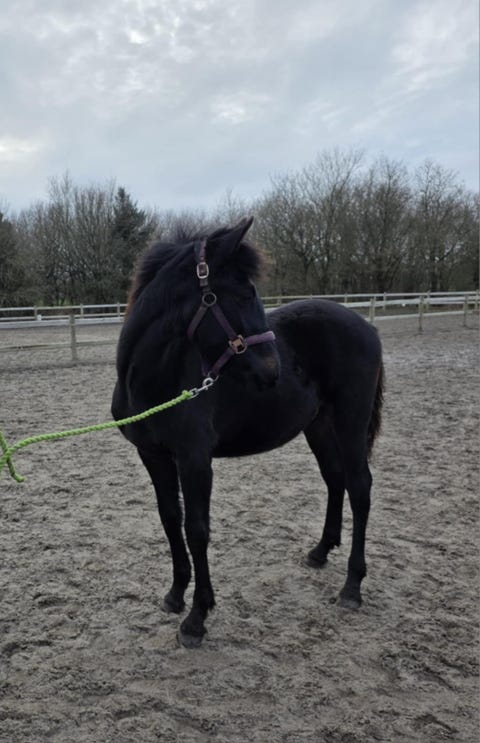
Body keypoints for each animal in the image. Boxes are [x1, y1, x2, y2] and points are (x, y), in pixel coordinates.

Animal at [111, 217, 384, 648]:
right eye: (240, 294)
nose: (273, 372)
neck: (153, 380)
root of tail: (367, 327)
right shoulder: (154, 456)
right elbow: (170, 519)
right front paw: (175, 595)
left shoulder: (195, 460)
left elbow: (197, 529)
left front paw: (197, 619)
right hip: (319, 426)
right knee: (334, 478)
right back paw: (320, 552)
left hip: (351, 422)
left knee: (360, 487)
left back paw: (352, 587)